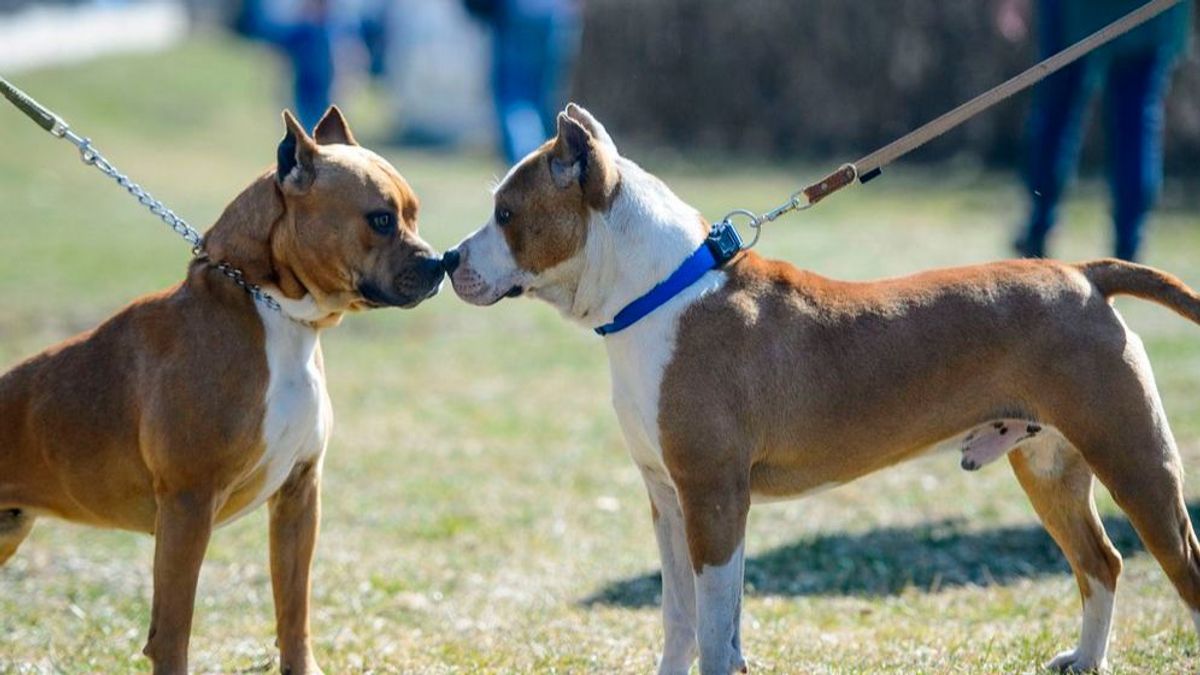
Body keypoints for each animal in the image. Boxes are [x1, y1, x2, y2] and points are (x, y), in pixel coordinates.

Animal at [0, 107, 444, 667]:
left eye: (413, 215)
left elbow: (293, 608)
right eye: (381, 219)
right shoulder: (189, 505)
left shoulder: (299, 495)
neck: (272, 310)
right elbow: (173, 628)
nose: (441, 263)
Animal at [446, 103, 1200, 672]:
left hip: (1137, 461)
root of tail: (1083, 274)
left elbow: (714, 630)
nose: (449, 259)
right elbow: (682, 619)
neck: (660, 291)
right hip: (1049, 465)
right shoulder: (667, 498)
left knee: (1182, 566)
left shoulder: (713, 496)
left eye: (507, 214)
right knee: (1100, 562)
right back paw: (1086, 658)